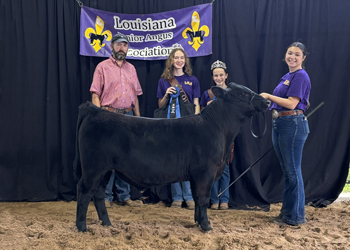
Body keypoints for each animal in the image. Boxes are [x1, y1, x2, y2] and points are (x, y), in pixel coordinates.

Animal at [74, 82, 270, 232]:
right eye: (242, 93)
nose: (267, 101)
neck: (217, 128)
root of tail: (94, 110)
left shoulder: (196, 175)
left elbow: (197, 198)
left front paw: (198, 222)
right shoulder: (205, 172)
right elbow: (203, 198)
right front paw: (206, 226)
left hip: (105, 169)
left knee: (98, 193)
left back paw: (107, 223)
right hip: (94, 167)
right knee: (84, 190)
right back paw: (82, 227)